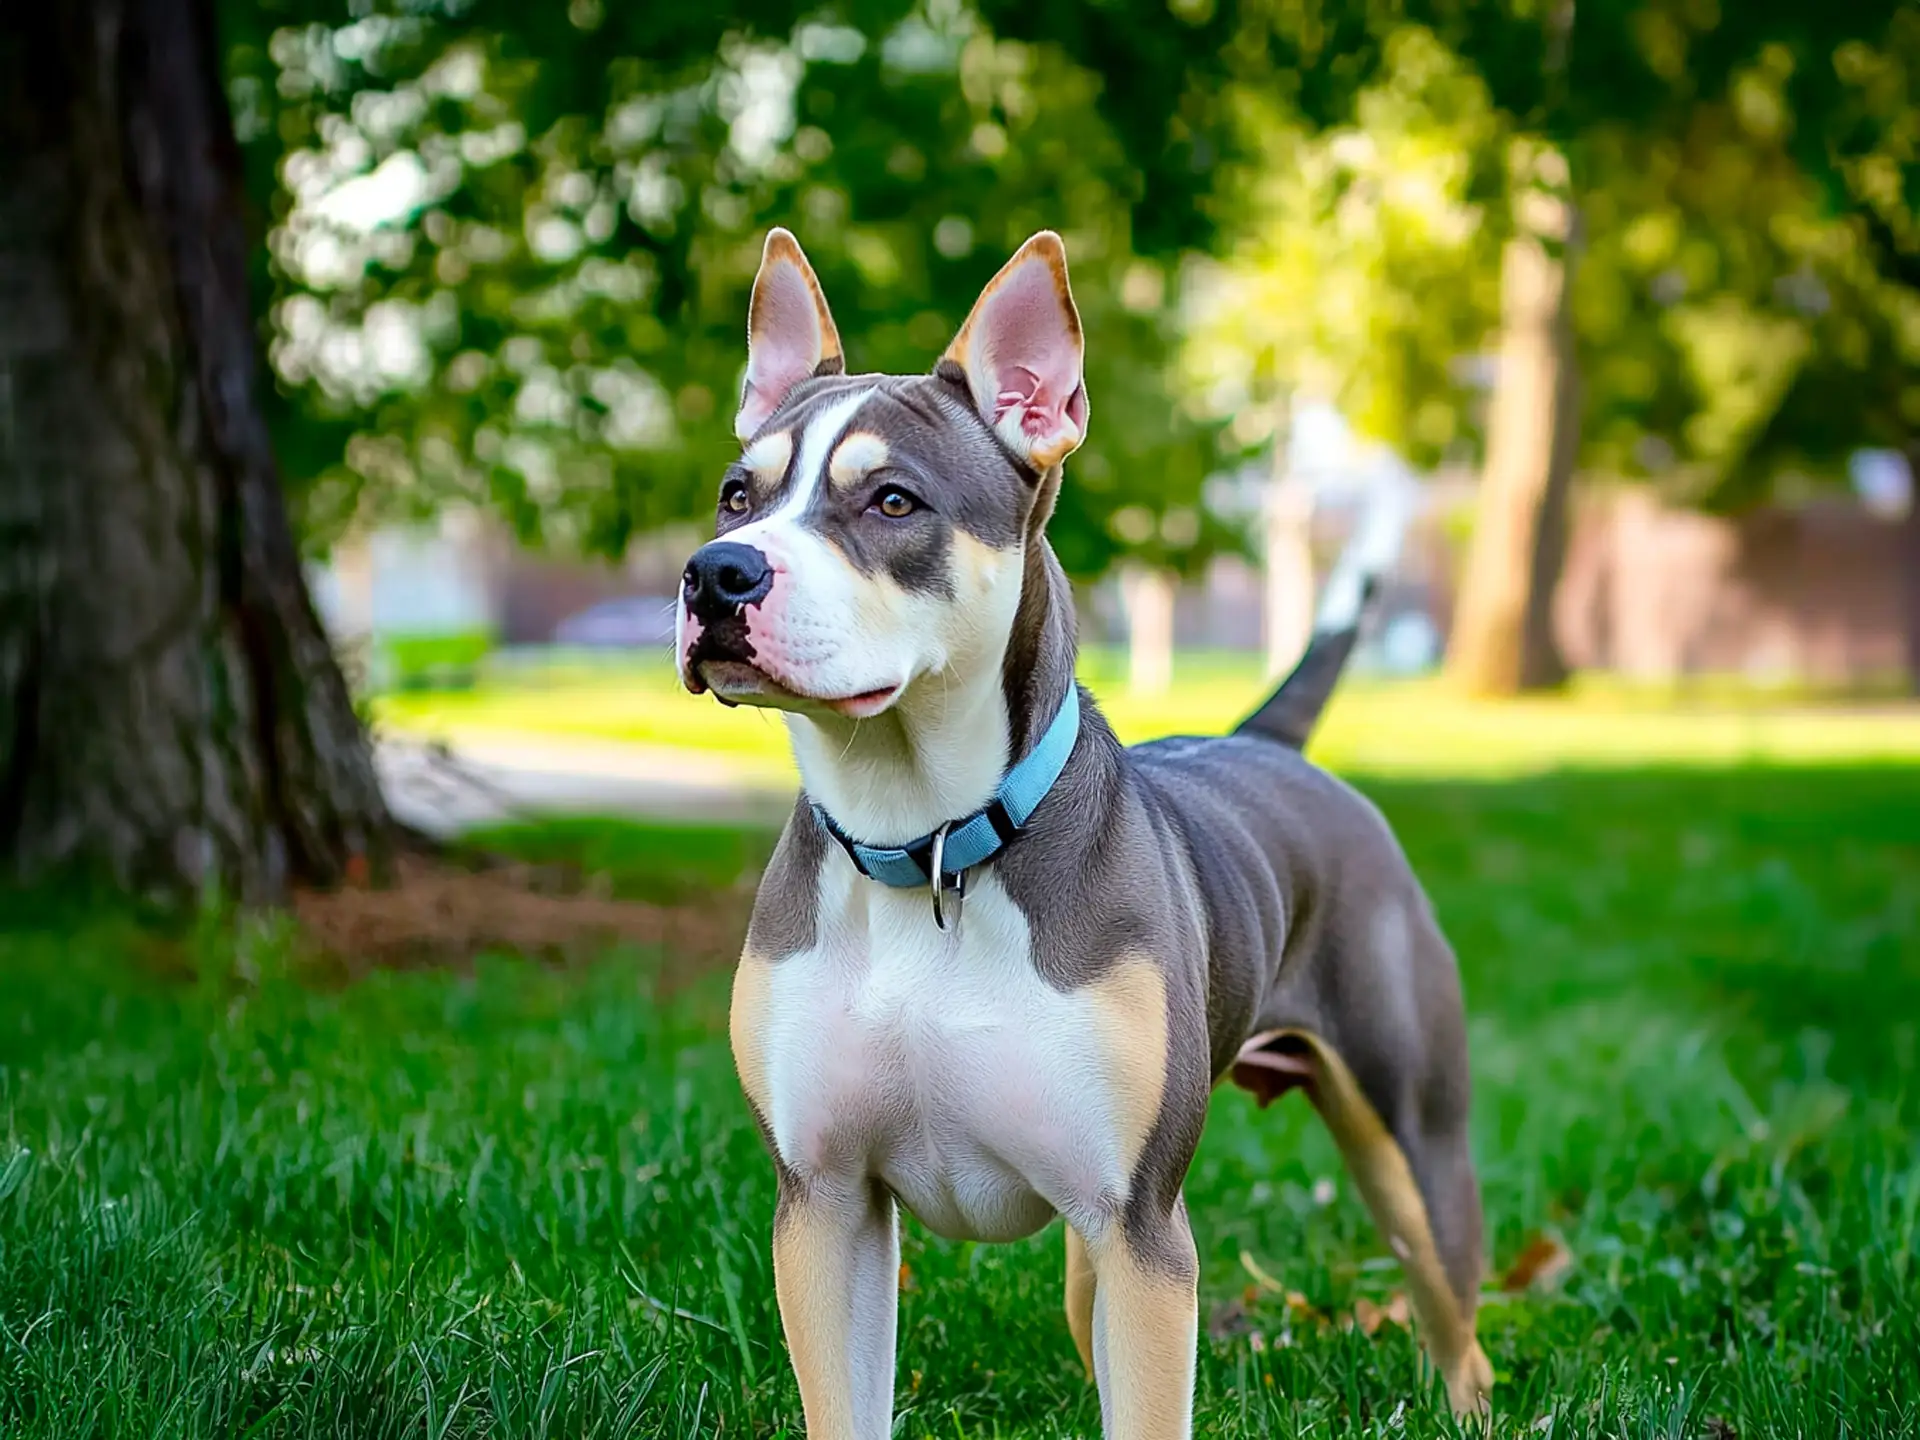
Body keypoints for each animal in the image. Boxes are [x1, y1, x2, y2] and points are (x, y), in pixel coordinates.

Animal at [679, 231, 1497, 1436]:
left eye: (892, 501)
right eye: (738, 495)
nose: (717, 572)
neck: (927, 846)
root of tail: (1270, 745)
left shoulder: (1141, 1229)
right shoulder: (825, 1206)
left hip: (1410, 1145)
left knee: (1450, 1302)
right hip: (1092, 1260)